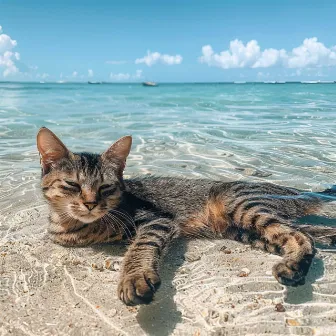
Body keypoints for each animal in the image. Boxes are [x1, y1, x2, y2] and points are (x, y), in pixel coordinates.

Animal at [37, 127, 336, 306]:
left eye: (106, 188)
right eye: (73, 185)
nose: (90, 204)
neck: (74, 225)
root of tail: (289, 190)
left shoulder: (157, 220)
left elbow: (141, 246)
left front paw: (134, 277)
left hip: (242, 206)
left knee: (301, 235)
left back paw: (293, 267)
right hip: (245, 231)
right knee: (313, 233)